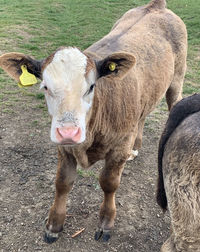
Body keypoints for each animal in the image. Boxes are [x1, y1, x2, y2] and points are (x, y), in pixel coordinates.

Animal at [0, 0, 188, 243]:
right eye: (45, 87)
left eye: (91, 87)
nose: (68, 132)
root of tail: (156, 6)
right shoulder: (65, 148)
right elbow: (62, 182)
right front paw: (54, 224)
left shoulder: (118, 147)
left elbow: (109, 183)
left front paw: (106, 222)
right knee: (142, 115)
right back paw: (135, 148)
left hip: (177, 78)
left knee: (173, 102)